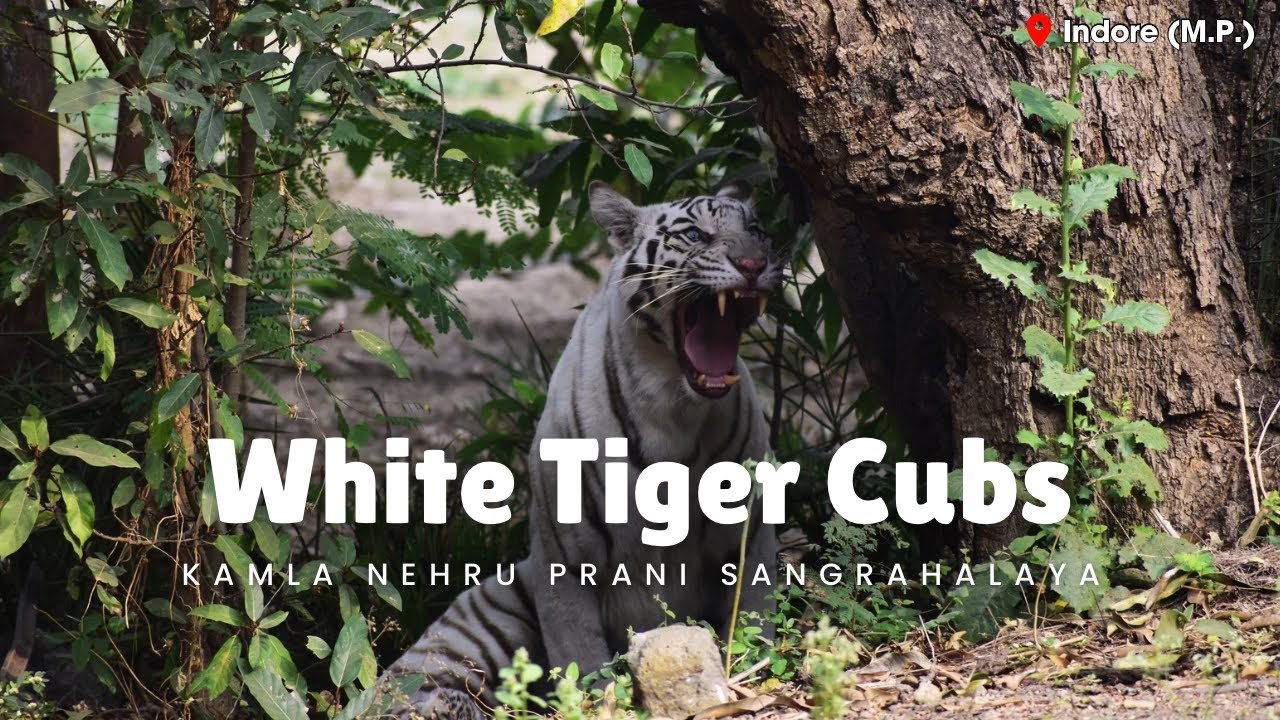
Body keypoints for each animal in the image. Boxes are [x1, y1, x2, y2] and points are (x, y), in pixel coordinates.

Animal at [380, 180, 784, 718]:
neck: (674, 407)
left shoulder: (746, 536)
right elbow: (580, 655)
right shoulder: (565, 556)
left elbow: (753, 621)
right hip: (488, 615)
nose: (755, 264)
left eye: (756, 231)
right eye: (696, 234)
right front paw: (597, 703)